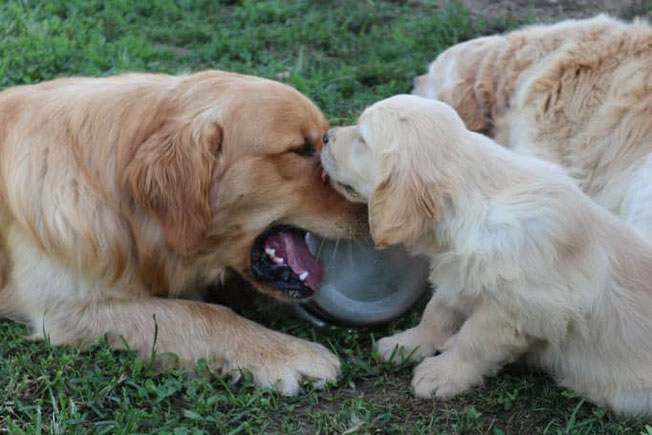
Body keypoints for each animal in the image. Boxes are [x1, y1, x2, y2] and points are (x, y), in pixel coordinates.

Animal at [0, 70, 366, 396]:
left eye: (326, 139)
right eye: (301, 149)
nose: (373, 206)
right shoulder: (68, 307)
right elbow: (205, 314)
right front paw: (287, 353)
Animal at [320, 93, 652, 418]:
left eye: (362, 139)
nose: (325, 135)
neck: (472, 207)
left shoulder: (514, 311)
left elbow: (473, 342)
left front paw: (440, 374)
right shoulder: (457, 275)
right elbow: (436, 312)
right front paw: (407, 344)